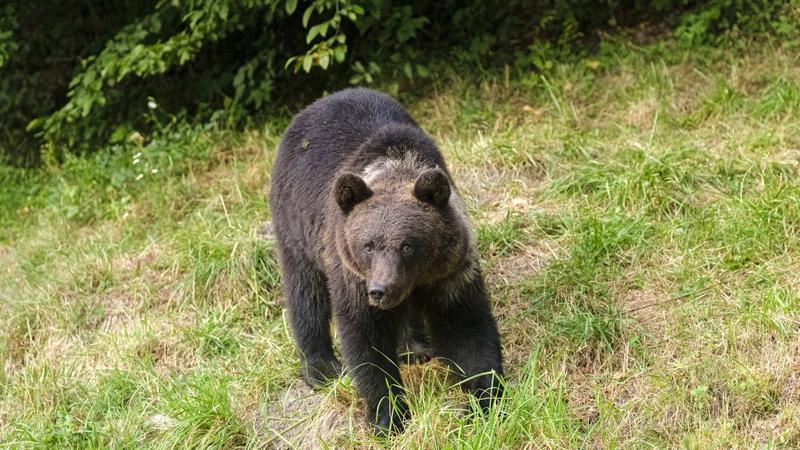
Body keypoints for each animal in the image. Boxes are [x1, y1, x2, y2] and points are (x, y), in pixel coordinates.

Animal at [272, 86, 504, 434]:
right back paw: (321, 367)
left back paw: (414, 347)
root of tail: (317, 103)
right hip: (296, 225)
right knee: (306, 291)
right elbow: (365, 339)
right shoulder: (352, 272)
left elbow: (466, 327)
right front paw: (388, 416)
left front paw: (484, 399)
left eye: (407, 245)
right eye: (368, 245)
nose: (380, 290)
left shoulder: (450, 273)